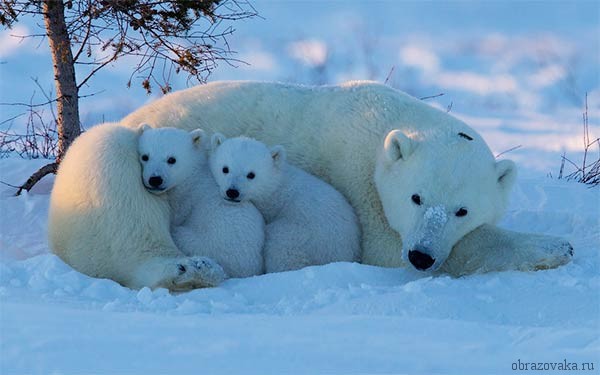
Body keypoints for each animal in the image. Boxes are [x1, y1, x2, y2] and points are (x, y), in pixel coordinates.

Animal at [140, 126, 264, 280]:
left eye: (171, 159)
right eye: (145, 156)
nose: (155, 179)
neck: (192, 175)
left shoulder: (184, 199)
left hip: (204, 243)